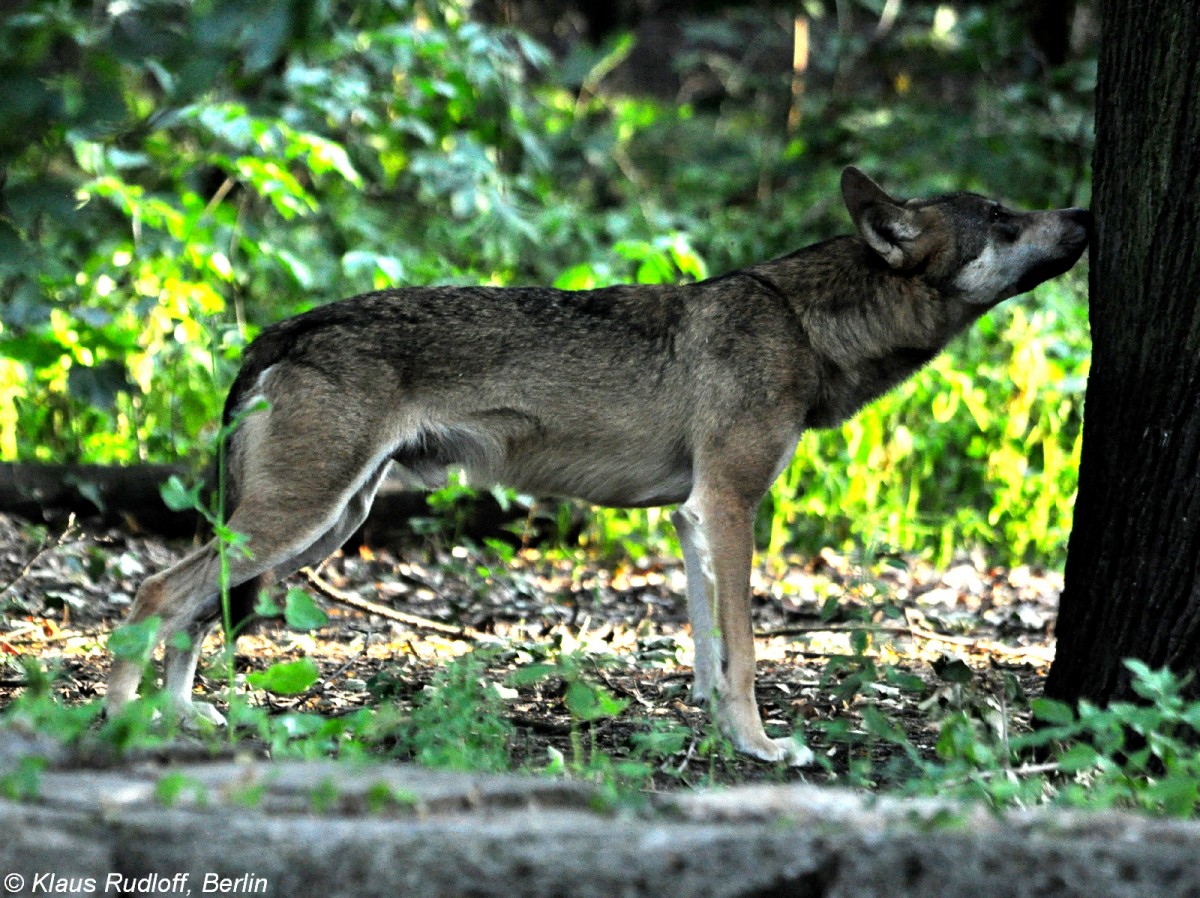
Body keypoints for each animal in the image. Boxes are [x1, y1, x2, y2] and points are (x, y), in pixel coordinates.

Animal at [108, 164, 1094, 763]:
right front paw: (764, 750)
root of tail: (288, 327)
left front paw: (722, 742)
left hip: (319, 529)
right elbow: (745, 655)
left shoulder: (695, 519)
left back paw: (182, 718)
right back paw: (117, 722)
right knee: (158, 593)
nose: (1087, 211)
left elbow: (709, 659)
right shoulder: (729, 506)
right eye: (1002, 217)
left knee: (193, 609)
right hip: (299, 523)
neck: (805, 325)